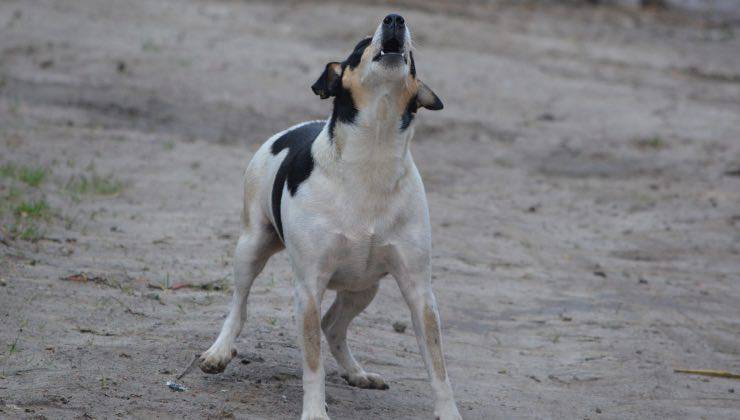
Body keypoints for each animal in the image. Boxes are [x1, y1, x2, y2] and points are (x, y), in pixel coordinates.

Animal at [199, 13, 460, 420]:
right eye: (361, 45)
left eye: (413, 57)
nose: (395, 19)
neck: (373, 155)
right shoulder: (308, 288)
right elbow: (312, 363)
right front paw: (315, 411)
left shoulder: (419, 290)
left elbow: (437, 365)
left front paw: (448, 412)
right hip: (251, 247)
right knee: (239, 306)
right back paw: (220, 351)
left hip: (363, 287)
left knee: (333, 326)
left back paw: (357, 373)